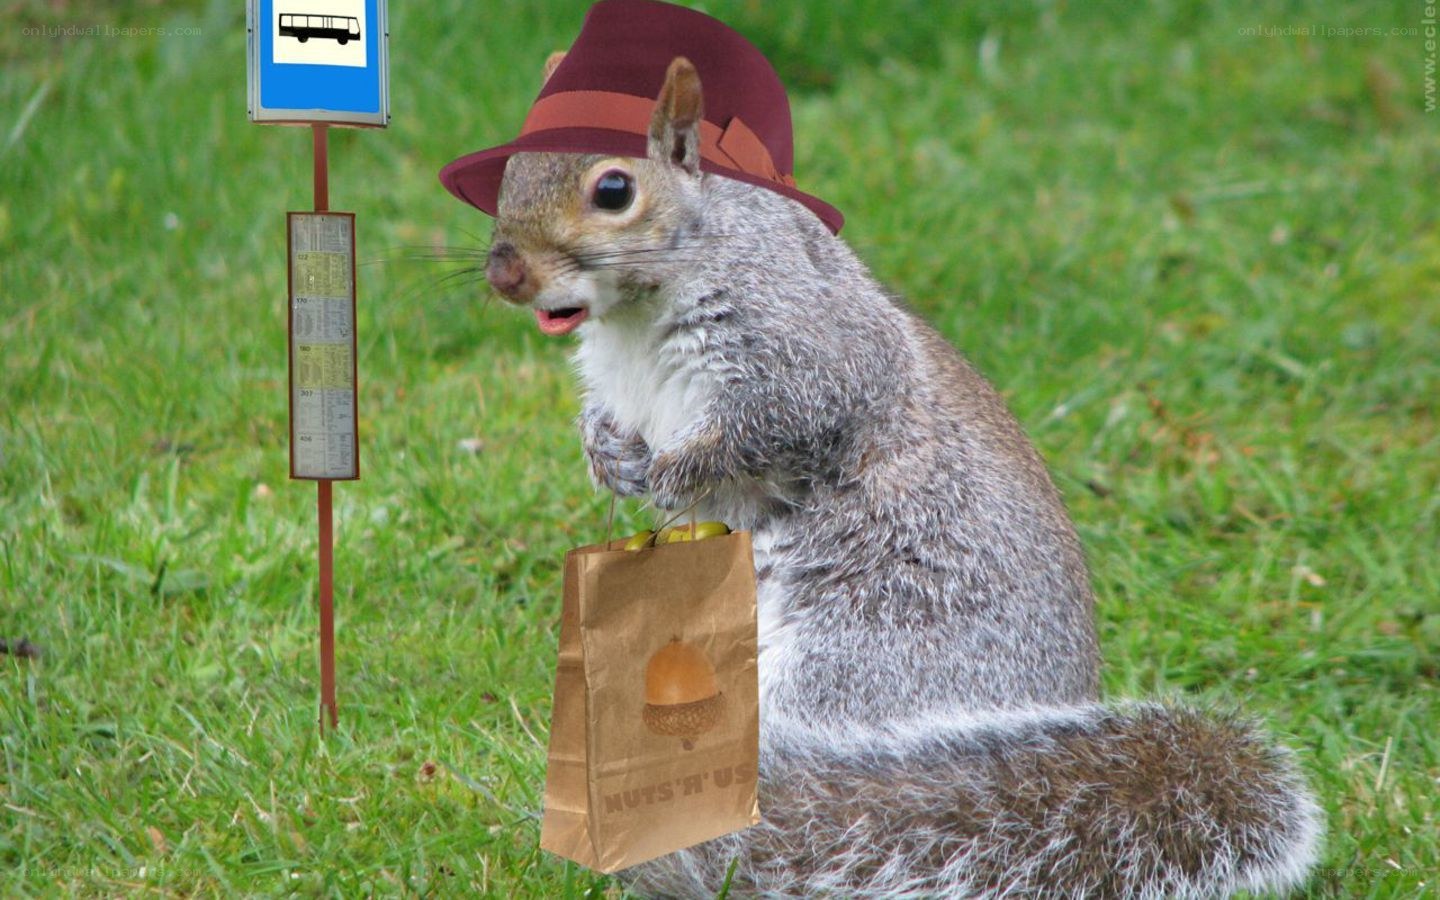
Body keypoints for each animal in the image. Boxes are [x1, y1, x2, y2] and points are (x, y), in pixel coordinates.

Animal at [481, 55, 1322, 898]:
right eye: (508, 176)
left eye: (614, 191)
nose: (504, 273)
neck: (634, 317)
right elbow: (607, 424)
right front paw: (610, 457)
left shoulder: (805, 351)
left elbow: (775, 424)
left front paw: (675, 469)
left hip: (864, 656)